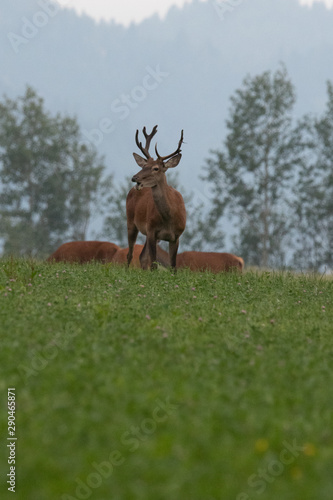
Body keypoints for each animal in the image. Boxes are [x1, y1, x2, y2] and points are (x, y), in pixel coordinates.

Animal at [126, 127, 185, 272]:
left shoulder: (176, 236)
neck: (169, 219)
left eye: (156, 168)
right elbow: (153, 263)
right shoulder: (152, 230)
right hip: (131, 222)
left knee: (141, 256)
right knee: (130, 254)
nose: (135, 178)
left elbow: (173, 266)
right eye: (143, 166)